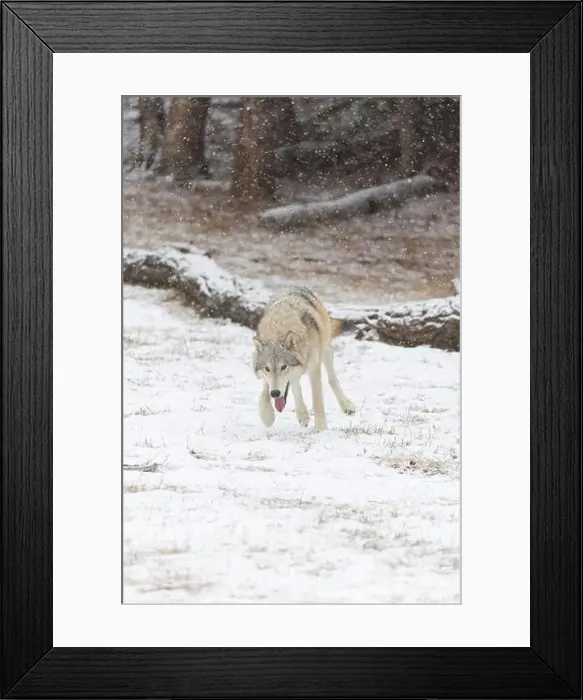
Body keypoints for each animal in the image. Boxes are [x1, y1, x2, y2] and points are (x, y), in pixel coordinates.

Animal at [252, 286, 355, 431]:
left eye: (284, 367)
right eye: (267, 368)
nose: (275, 393)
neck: (278, 331)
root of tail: (294, 286)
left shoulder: (314, 369)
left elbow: (317, 400)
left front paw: (320, 428)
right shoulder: (268, 379)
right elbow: (263, 394)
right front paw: (267, 417)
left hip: (325, 350)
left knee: (332, 379)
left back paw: (346, 405)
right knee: (296, 385)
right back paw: (302, 415)